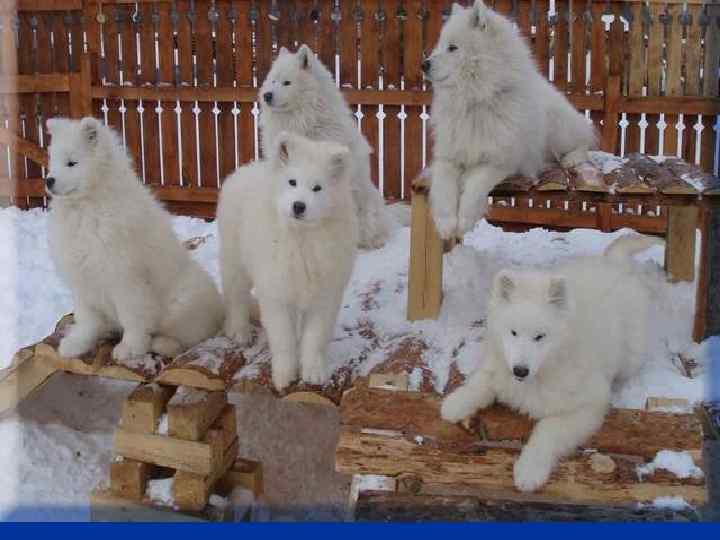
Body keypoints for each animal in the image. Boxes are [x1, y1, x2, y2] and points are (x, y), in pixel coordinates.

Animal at [46, 118, 224, 362]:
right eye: (52, 162)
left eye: (71, 163)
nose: (48, 180)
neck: (85, 207)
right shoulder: (82, 278)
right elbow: (87, 319)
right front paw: (76, 344)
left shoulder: (125, 277)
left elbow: (132, 317)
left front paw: (129, 348)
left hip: (180, 305)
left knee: (189, 337)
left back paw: (160, 343)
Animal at [217, 133, 358, 390]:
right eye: (292, 182)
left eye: (317, 188)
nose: (298, 206)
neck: (301, 237)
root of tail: (246, 168)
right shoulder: (277, 294)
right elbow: (284, 339)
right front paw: (284, 375)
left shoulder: (324, 297)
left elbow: (314, 338)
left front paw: (313, 373)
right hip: (235, 262)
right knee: (236, 298)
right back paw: (240, 331)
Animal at [422, 1, 596, 239]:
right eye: (440, 46)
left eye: (453, 48)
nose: (424, 64)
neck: (475, 100)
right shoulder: (448, 157)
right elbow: (443, 187)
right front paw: (446, 224)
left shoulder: (499, 161)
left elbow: (474, 186)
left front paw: (464, 220)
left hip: (559, 128)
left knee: (585, 142)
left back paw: (571, 158)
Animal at [438, 234, 660, 492]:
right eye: (513, 332)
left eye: (540, 337)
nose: (520, 371)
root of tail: (614, 264)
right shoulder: (500, 367)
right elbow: (481, 382)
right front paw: (455, 403)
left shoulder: (587, 406)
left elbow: (547, 431)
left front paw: (529, 471)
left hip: (631, 356)